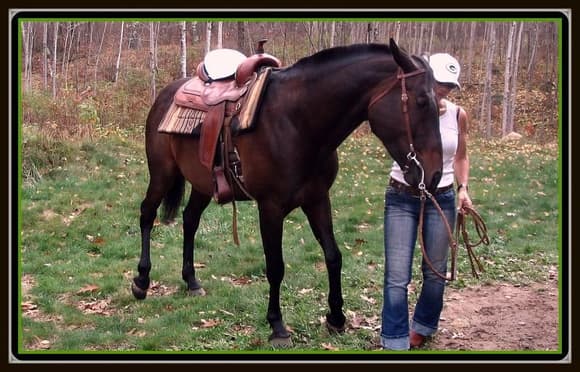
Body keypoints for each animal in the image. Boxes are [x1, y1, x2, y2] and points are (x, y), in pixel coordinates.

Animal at [131, 37, 442, 346]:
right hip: (162, 173)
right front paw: (277, 326)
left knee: (190, 220)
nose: (435, 175)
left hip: (203, 183)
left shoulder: (318, 200)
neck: (298, 122)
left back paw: (191, 280)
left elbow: (333, 255)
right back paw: (142, 281)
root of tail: (166, 93)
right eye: (422, 101)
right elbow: (275, 266)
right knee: (147, 214)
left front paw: (336, 317)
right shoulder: (270, 207)